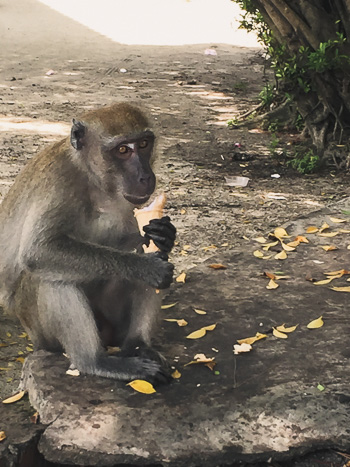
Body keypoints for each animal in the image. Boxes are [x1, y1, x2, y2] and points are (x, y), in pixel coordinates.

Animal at [0, 102, 176, 384]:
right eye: (123, 150)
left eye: (144, 144)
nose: (145, 176)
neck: (95, 181)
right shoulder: (59, 182)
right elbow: (39, 251)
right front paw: (145, 267)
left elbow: (135, 239)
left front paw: (163, 235)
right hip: (38, 329)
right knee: (50, 277)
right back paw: (95, 361)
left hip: (112, 324)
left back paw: (137, 346)